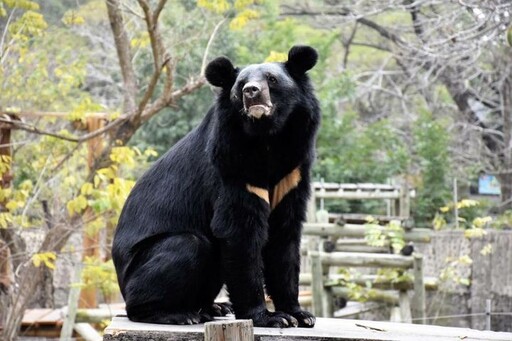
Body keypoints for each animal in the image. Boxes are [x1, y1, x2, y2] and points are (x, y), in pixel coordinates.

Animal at [112, 45, 320, 326]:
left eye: (272, 79)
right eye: (240, 84)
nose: (251, 92)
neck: (268, 138)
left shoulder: (293, 171)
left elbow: (284, 235)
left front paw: (300, 314)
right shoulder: (232, 166)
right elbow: (238, 230)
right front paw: (269, 317)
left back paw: (214, 308)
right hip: (140, 267)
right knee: (187, 245)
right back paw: (178, 314)